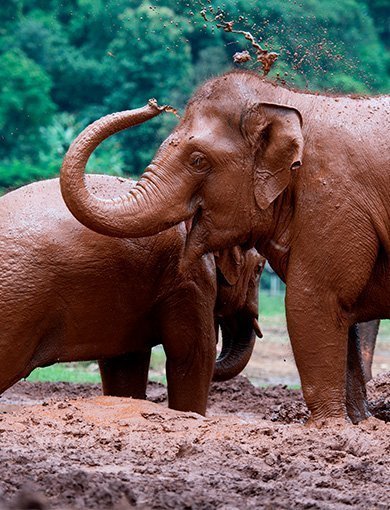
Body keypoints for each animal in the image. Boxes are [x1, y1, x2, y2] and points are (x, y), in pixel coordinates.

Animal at [58, 71, 390, 426]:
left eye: (198, 160)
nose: (155, 104)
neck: (290, 101)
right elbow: (342, 314)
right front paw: (358, 424)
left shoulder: (334, 200)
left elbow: (314, 300)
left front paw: (326, 427)